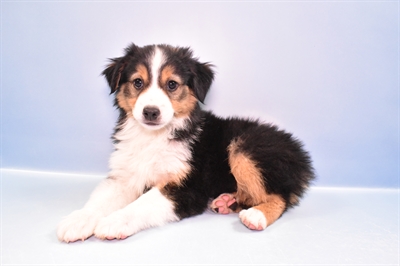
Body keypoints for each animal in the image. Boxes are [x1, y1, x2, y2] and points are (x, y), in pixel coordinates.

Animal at [56, 43, 314, 243]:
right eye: (138, 82)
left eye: (172, 84)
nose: (151, 112)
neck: (153, 138)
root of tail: (299, 151)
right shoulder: (124, 176)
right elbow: (99, 200)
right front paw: (78, 220)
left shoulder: (186, 187)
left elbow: (143, 203)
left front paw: (115, 221)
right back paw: (227, 202)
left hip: (246, 149)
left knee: (281, 196)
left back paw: (256, 216)